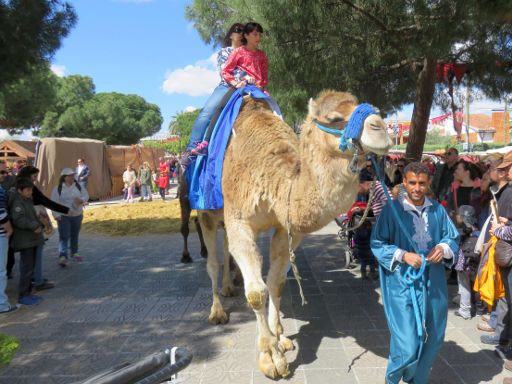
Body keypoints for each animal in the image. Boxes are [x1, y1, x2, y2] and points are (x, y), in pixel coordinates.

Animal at [196, 89, 392, 378]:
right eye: (335, 117)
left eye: (375, 109)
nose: (381, 128)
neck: (275, 179)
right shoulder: (240, 220)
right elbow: (257, 292)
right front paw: (270, 358)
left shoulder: (285, 228)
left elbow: (276, 282)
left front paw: (281, 338)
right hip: (206, 214)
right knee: (212, 261)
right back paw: (217, 312)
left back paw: (230, 288)